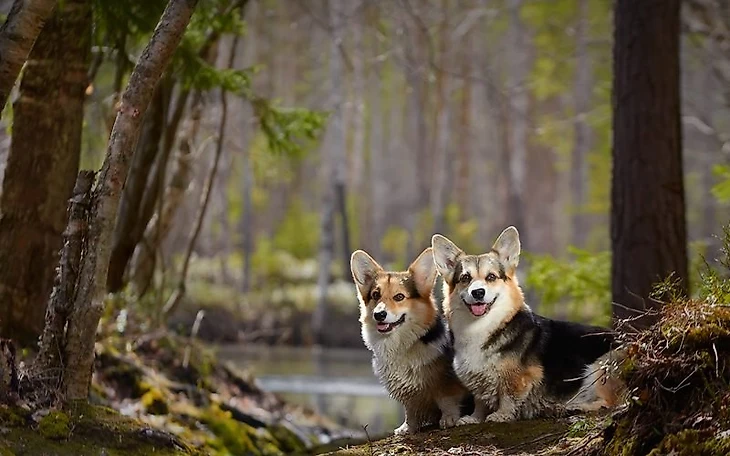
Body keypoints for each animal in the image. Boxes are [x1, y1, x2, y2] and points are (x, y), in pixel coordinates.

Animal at [352, 248, 466, 432]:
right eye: (375, 295)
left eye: (399, 297)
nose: (379, 314)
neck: (401, 344)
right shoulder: (409, 395)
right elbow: (410, 409)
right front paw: (407, 427)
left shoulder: (446, 383)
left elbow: (447, 400)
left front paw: (449, 419)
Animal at [430, 228, 624, 424]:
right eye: (465, 278)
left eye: (491, 277)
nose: (478, 293)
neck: (482, 327)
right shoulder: (479, 381)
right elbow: (481, 401)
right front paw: (474, 418)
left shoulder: (519, 378)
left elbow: (508, 397)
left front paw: (501, 415)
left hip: (603, 365)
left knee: (611, 402)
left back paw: (575, 406)